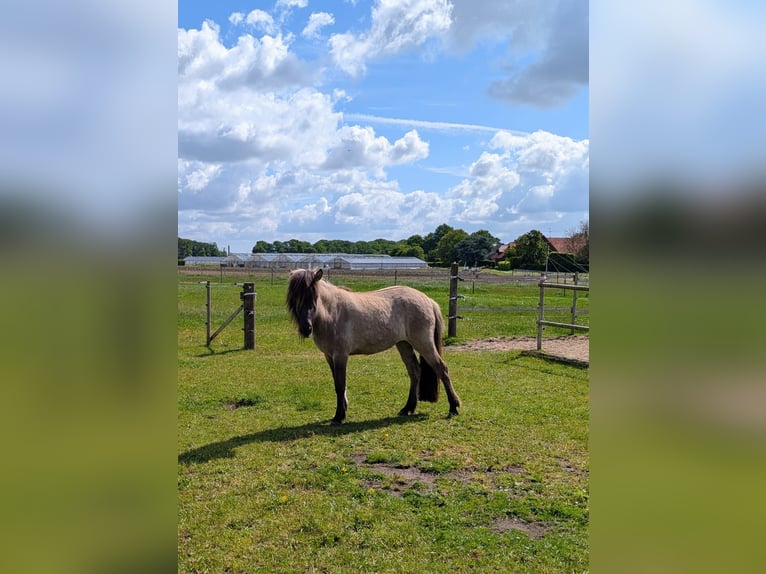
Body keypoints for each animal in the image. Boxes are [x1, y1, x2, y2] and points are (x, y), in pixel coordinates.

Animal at [286, 268, 461, 425]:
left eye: (314, 296)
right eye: (295, 298)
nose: (306, 328)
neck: (332, 312)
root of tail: (428, 300)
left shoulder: (340, 355)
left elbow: (340, 384)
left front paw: (339, 416)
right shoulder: (329, 356)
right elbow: (338, 382)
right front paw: (343, 409)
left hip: (423, 343)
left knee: (441, 369)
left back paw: (453, 407)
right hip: (404, 344)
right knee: (415, 372)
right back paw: (407, 408)